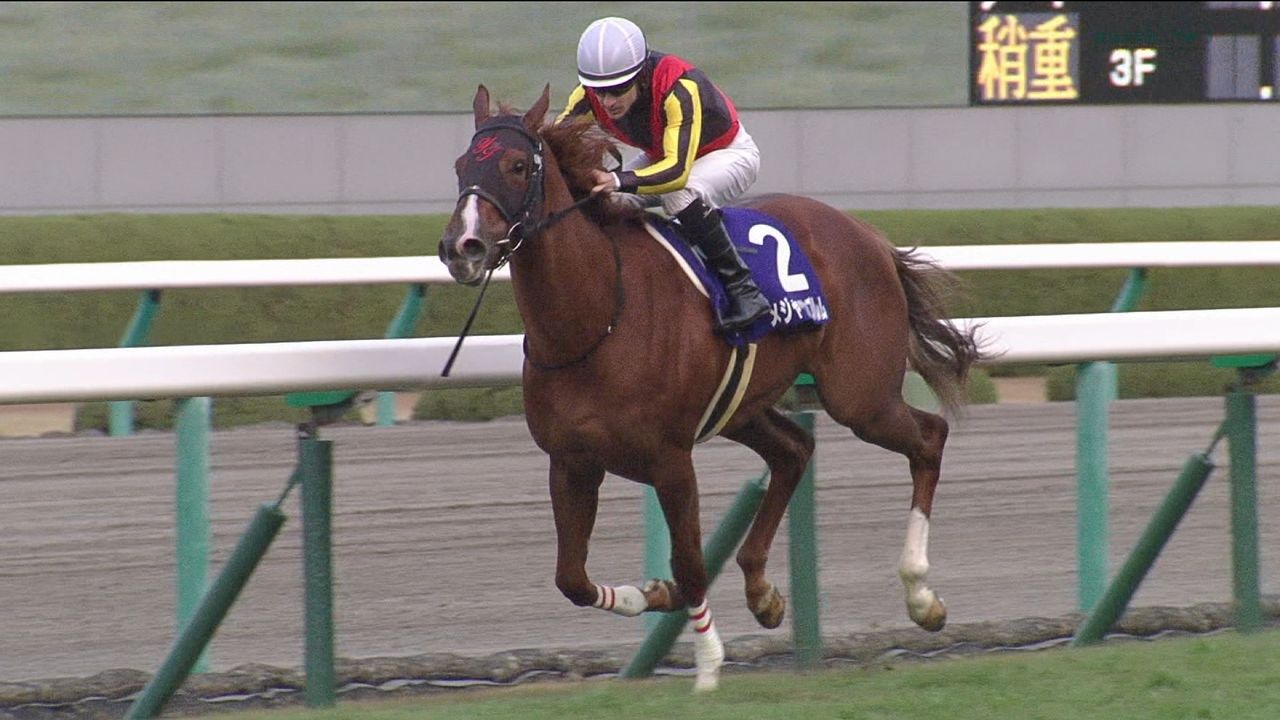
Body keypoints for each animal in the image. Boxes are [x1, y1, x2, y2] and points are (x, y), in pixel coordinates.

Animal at [435, 85, 983, 691]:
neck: (596, 318)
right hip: (744, 405)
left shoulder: (671, 460)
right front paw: (654, 594)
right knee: (795, 450)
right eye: (461, 166)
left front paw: (708, 667)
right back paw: (762, 591)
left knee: (928, 438)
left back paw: (921, 595)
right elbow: (571, 578)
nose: (462, 247)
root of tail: (867, 235)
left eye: (515, 165)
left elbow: (691, 564)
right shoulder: (570, 461)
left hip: (861, 397)